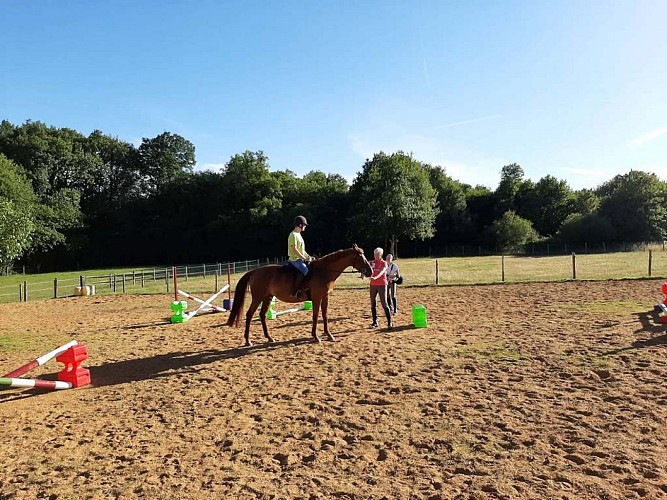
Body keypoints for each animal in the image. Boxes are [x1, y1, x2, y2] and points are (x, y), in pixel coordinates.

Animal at [227, 245, 373, 346]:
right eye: (360, 256)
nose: (370, 271)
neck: (324, 271)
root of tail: (254, 271)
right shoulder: (317, 298)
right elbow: (315, 316)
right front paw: (316, 336)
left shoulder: (325, 297)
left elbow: (325, 315)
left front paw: (329, 335)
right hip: (258, 298)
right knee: (250, 315)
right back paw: (248, 341)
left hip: (267, 297)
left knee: (262, 315)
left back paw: (269, 338)